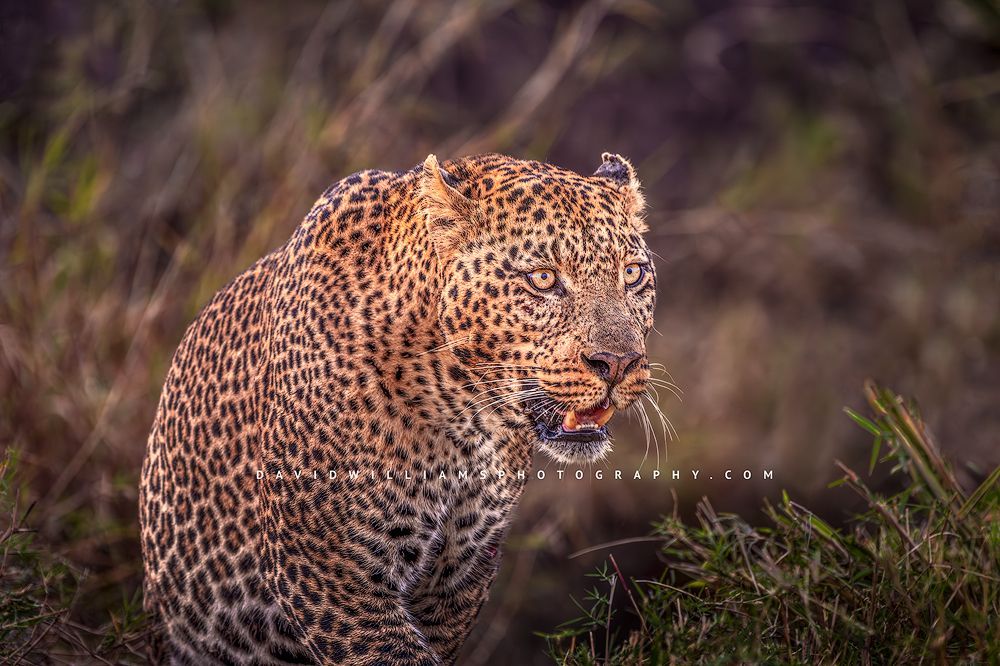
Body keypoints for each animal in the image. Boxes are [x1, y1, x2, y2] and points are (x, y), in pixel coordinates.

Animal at [139, 151, 657, 665]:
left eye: (632, 274)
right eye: (543, 279)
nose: (617, 362)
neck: (463, 417)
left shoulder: (461, 574)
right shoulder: (330, 574)